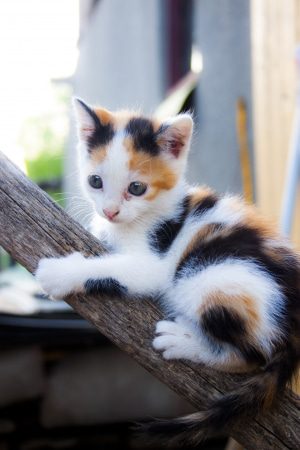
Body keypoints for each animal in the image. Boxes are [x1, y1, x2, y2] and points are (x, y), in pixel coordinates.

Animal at [35, 97, 300, 442]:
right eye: (95, 182)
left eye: (136, 188)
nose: (110, 211)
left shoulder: (154, 263)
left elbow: (111, 266)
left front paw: (57, 274)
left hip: (214, 275)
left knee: (254, 354)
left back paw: (181, 340)